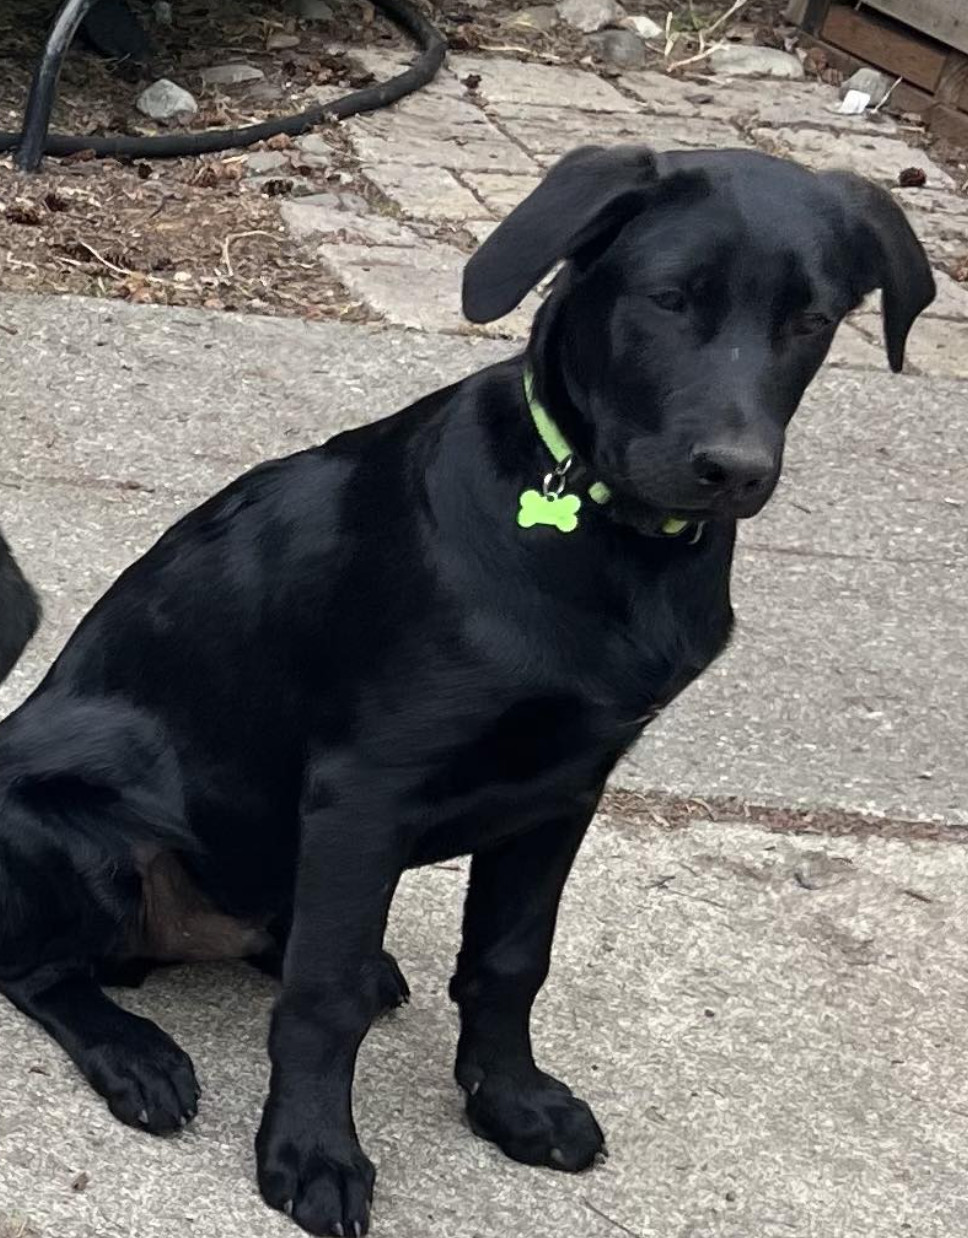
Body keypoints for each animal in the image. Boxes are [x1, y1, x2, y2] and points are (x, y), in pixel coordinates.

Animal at [1, 147, 940, 1238]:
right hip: (85, 833)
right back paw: (135, 1053)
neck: (599, 534)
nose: (734, 471)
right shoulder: (365, 786)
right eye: (669, 299)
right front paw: (313, 1151)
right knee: (39, 966)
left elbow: (508, 961)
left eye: (811, 320)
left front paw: (511, 1101)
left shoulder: (566, 787)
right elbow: (320, 999)